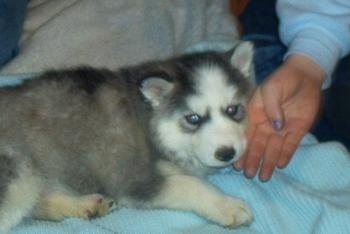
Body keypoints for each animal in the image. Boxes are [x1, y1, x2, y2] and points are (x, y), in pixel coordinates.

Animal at [0, 42, 254, 232]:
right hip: (19, 172)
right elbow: (190, 184)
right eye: (193, 118)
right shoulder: (133, 178)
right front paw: (228, 205)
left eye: (233, 110)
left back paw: (86, 205)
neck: (151, 123)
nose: (227, 153)